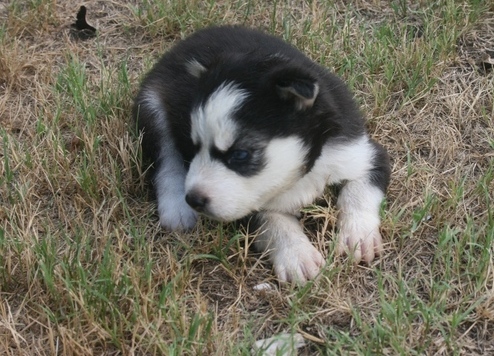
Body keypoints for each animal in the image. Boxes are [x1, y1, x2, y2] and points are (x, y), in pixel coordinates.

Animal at [133, 25, 392, 284]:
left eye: (240, 154)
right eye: (193, 145)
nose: (194, 199)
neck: (305, 170)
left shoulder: (361, 152)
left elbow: (359, 191)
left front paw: (357, 236)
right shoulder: (245, 204)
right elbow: (273, 221)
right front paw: (297, 255)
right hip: (152, 106)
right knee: (166, 163)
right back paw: (176, 207)